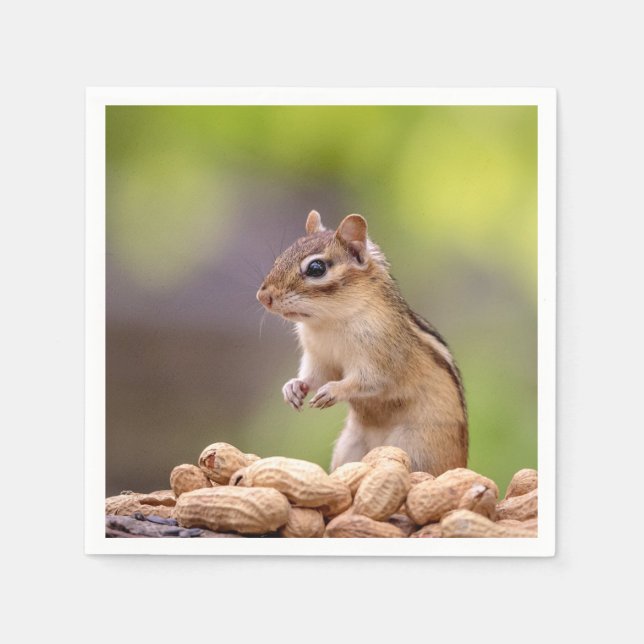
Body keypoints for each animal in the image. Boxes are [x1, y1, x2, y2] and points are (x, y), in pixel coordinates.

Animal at [256, 210, 468, 475]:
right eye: (280, 258)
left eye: (316, 268)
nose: (263, 296)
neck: (329, 322)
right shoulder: (319, 358)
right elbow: (316, 376)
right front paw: (293, 387)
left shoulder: (382, 356)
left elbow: (369, 381)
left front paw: (333, 390)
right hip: (349, 447)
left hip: (416, 448)